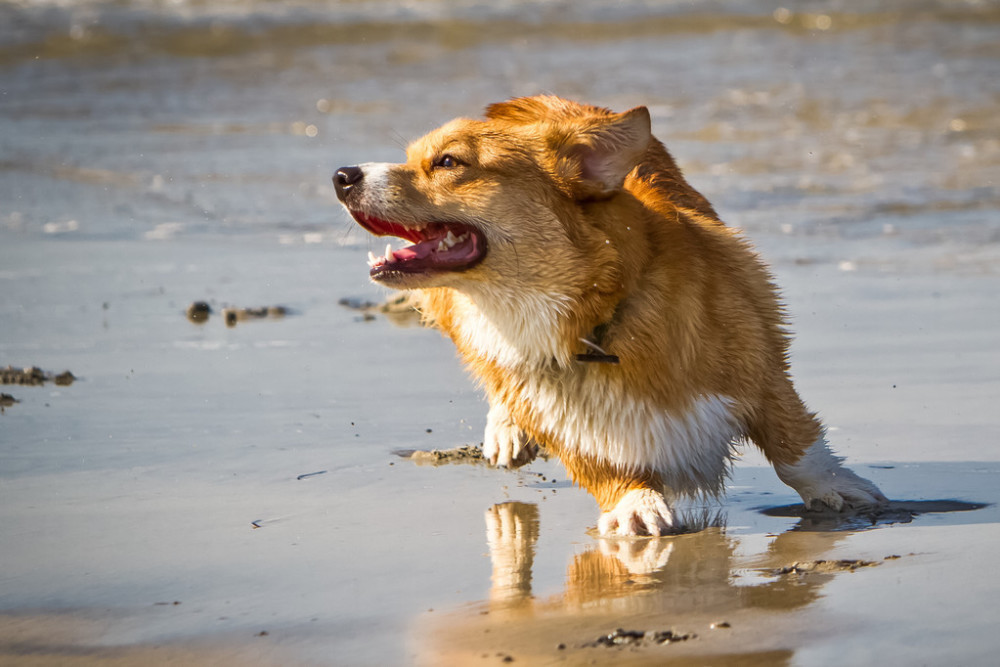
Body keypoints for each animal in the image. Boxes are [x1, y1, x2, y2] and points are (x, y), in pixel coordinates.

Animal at [334, 96, 884, 536]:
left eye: (448, 161)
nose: (341, 176)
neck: (584, 327)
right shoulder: (566, 423)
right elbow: (605, 469)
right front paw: (634, 504)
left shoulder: (764, 369)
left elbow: (796, 444)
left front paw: (839, 489)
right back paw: (506, 430)